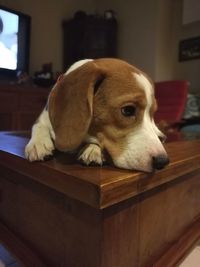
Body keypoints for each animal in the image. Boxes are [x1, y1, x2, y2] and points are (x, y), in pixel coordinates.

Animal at [24, 58, 169, 174]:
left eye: (153, 113)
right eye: (128, 110)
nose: (163, 161)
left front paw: (93, 150)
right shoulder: (43, 117)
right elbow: (38, 126)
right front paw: (38, 143)